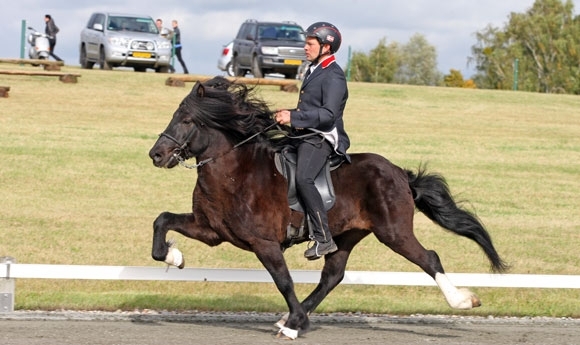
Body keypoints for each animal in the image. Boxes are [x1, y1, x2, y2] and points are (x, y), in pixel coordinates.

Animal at [150, 76, 508, 338]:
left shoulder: (264, 243)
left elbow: (283, 280)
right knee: (332, 275)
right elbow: (162, 221)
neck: (236, 172)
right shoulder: (210, 230)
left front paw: (296, 323)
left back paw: (463, 300)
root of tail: (399, 173)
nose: (156, 154)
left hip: (393, 232)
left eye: (186, 120)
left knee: (428, 258)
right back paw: (291, 320)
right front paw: (173, 257)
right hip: (347, 234)